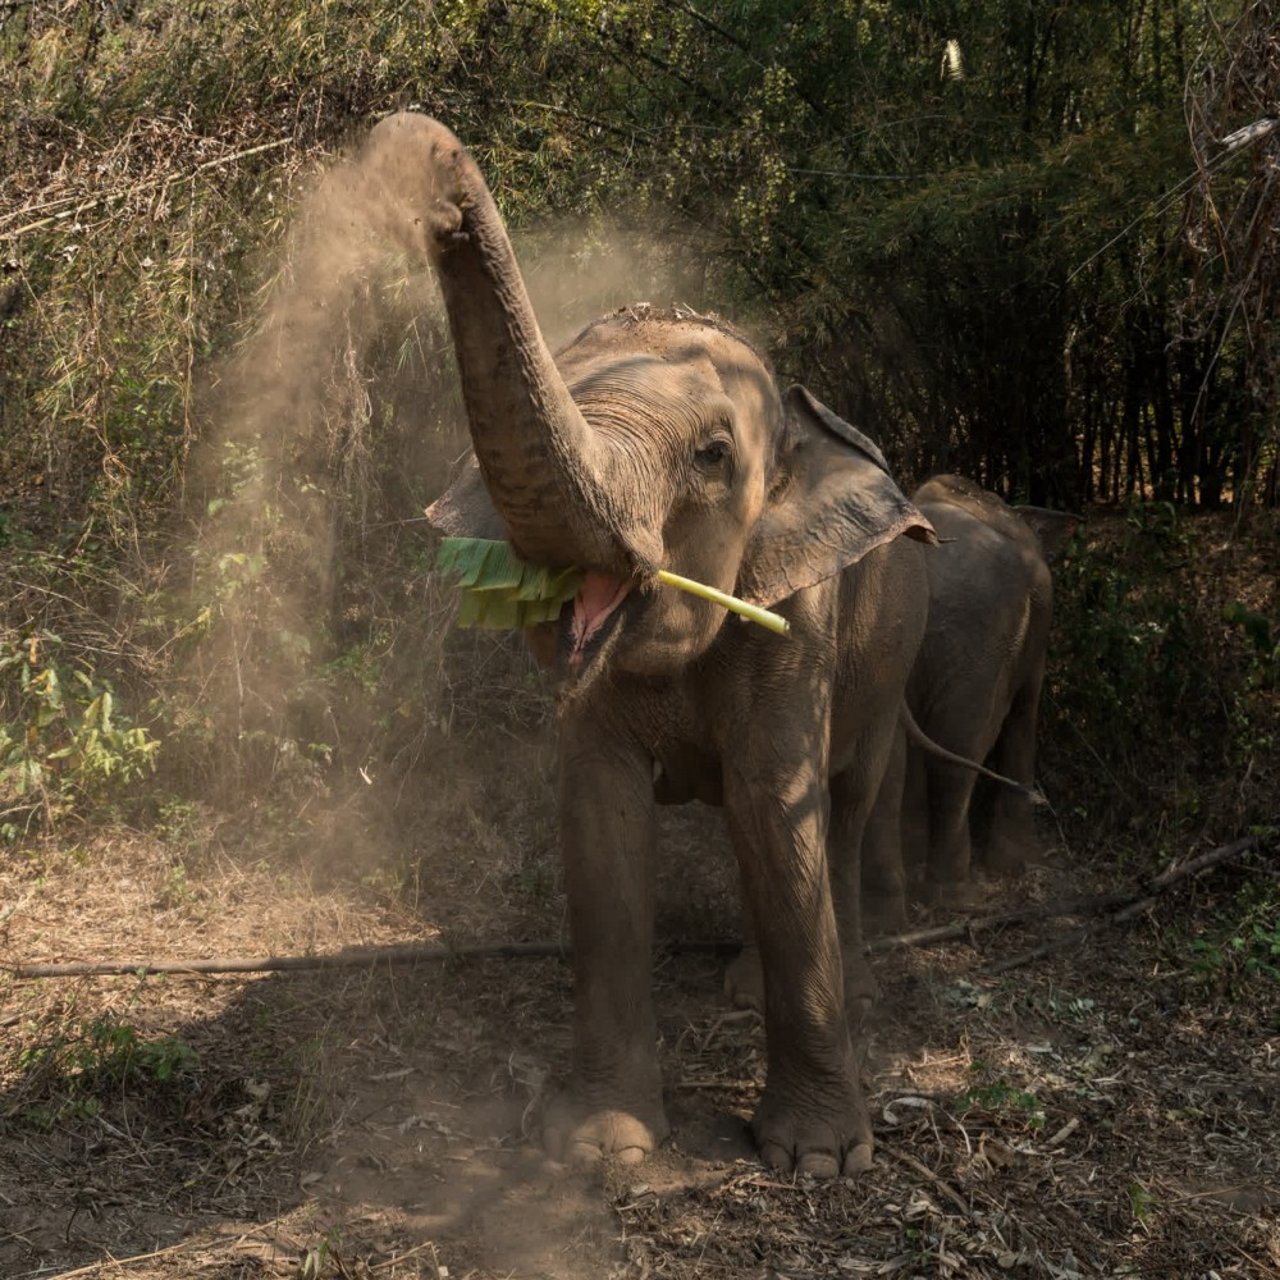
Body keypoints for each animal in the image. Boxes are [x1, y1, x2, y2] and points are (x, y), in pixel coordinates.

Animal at [363, 112, 942, 1177]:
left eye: (713, 455)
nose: (417, 150)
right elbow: (602, 829)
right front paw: (601, 1152)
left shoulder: (801, 618)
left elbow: (778, 812)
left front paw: (817, 1163)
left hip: (893, 649)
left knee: (840, 805)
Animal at [860, 473, 1080, 931]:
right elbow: (1025, 712)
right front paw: (1016, 862)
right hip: (978, 633)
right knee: (960, 747)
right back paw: (957, 897)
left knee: (889, 758)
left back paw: (884, 918)